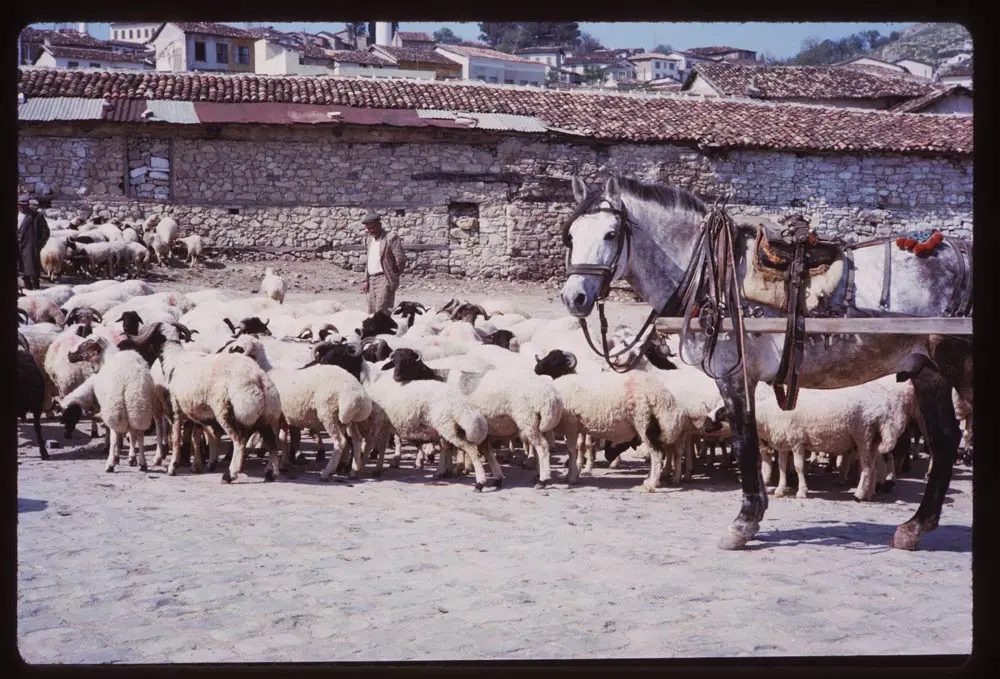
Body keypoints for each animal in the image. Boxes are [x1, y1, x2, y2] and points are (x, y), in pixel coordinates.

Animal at [564, 175, 976, 552]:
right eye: (570, 236)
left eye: (611, 234)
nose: (574, 298)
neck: (713, 275)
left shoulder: (733, 373)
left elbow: (744, 440)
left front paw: (744, 522)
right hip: (928, 371)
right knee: (945, 438)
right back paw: (915, 527)